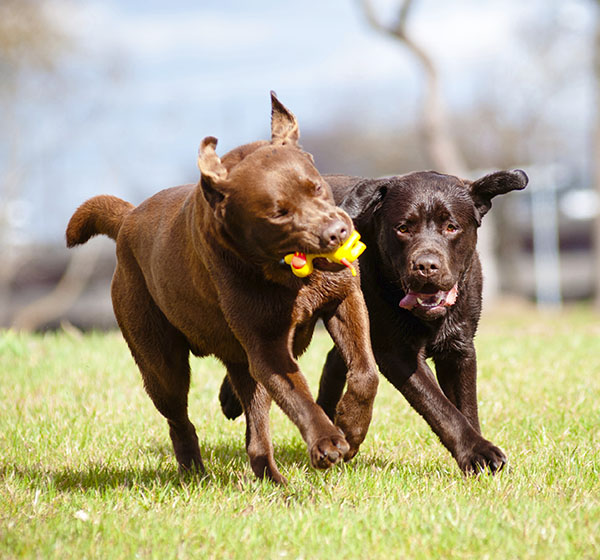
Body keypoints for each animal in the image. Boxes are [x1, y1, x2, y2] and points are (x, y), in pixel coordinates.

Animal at [64, 94, 376, 484]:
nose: (337, 233)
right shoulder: (267, 347)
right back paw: (194, 472)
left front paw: (351, 427)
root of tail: (127, 220)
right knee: (180, 419)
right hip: (160, 361)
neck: (289, 274)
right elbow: (298, 394)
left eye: (315, 187)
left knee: (254, 431)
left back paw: (271, 478)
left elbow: (366, 371)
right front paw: (327, 441)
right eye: (278, 213)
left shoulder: (344, 299)